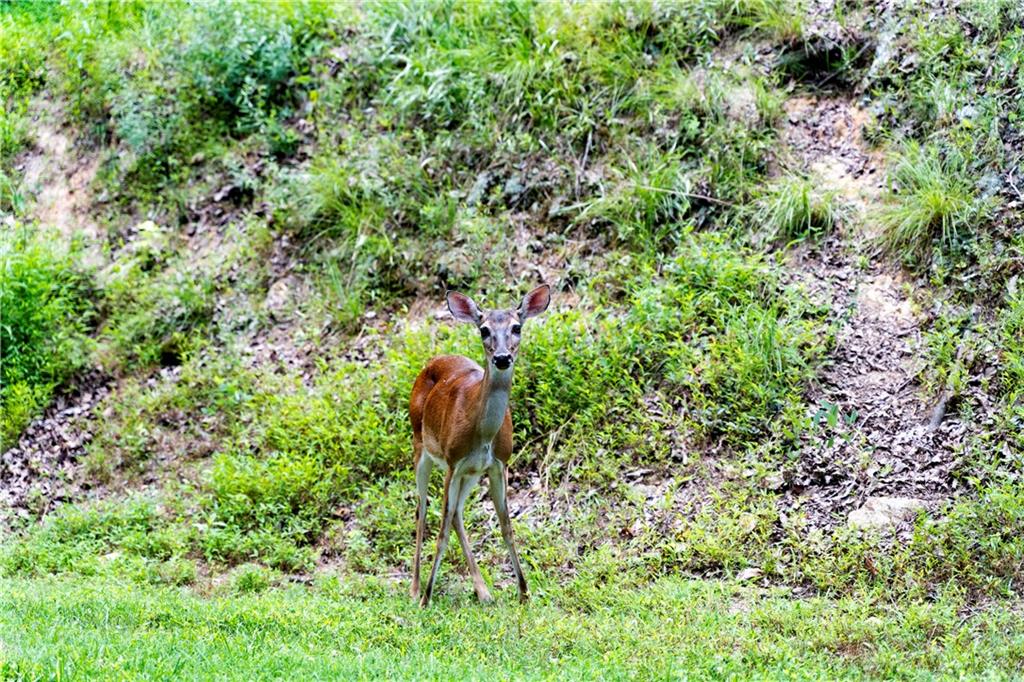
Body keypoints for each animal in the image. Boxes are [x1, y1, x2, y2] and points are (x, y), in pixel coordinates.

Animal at [407, 280, 552, 606]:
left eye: (516, 326)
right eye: (484, 329)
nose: (502, 357)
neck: (482, 433)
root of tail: (433, 361)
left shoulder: (498, 464)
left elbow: (507, 526)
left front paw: (524, 593)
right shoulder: (452, 461)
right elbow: (440, 532)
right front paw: (426, 599)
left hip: (471, 473)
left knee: (457, 513)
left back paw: (483, 591)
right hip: (421, 447)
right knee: (423, 510)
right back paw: (415, 588)